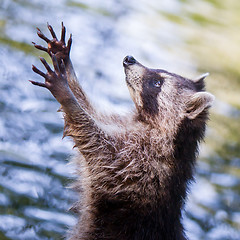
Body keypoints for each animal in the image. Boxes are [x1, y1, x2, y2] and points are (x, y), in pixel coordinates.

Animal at [31, 23, 215, 240]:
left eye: (157, 83)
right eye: (159, 72)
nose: (129, 58)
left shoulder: (139, 164)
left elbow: (93, 139)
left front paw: (67, 96)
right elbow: (92, 114)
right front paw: (65, 65)